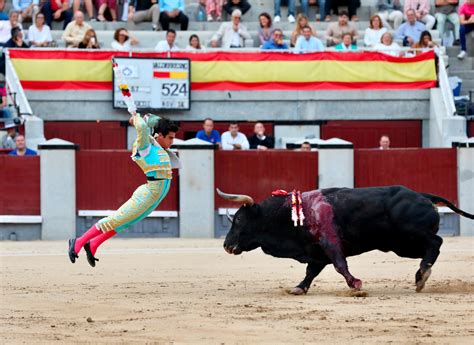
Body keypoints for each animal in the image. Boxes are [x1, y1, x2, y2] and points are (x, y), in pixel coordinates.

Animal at [218, 185, 474, 292]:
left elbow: (340, 265)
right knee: (431, 248)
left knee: (436, 243)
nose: (226, 245)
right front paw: (299, 288)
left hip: (409, 237)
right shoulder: (317, 252)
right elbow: (311, 272)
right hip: (400, 245)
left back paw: (423, 274)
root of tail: (422, 195)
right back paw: (420, 276)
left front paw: (356, 285)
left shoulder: (329, 244)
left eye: (238, 219)